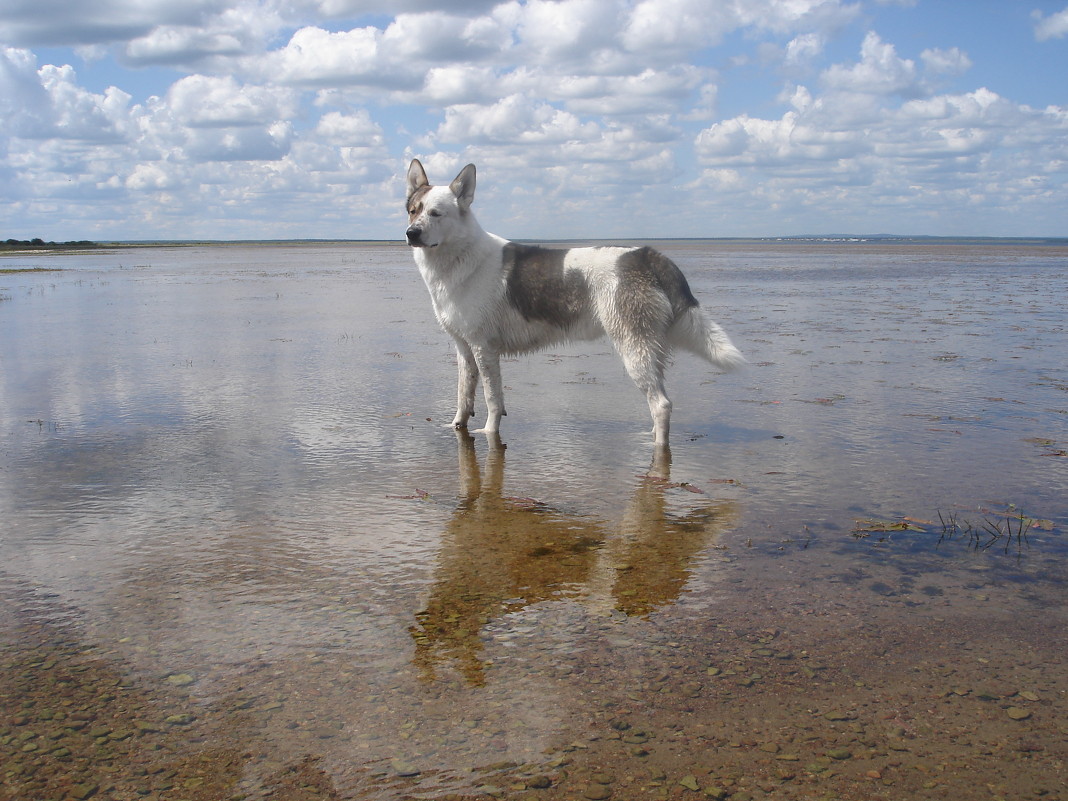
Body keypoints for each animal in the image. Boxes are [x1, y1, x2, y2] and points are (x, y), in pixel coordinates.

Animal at [403, 156, 747, 446]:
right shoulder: (465, 349)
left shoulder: (484, 349)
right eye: (413, 210)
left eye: (436, 213)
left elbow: (492, 399)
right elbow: (464, 394)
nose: (411, 233)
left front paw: (489, 433)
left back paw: (658, 449)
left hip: (635, 349)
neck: (460, 257)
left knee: (662, 404)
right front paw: (457, 426)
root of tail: (647, 255)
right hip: (650, 350)